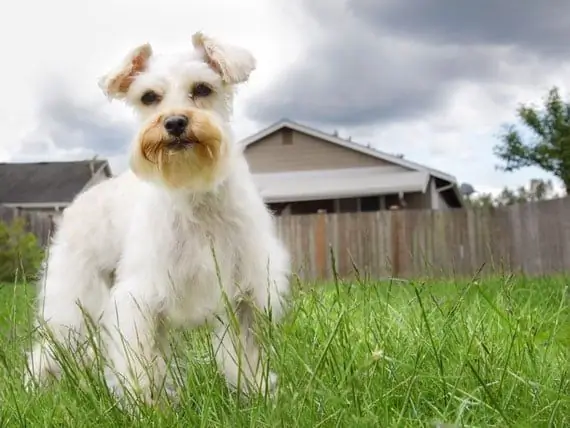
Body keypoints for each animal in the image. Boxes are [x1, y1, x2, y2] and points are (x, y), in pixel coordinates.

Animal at [25, 31, 290, 402]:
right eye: (149, 96)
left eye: (203, 88)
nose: (175, 122)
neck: (194, 194)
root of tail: (81, 201)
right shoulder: (139, 298)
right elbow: (137, 364)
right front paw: (144, 405)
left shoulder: (241, 297)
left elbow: (245, 357)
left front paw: (258, 396)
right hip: (71, 306)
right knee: (45, 352)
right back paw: (35, 390)